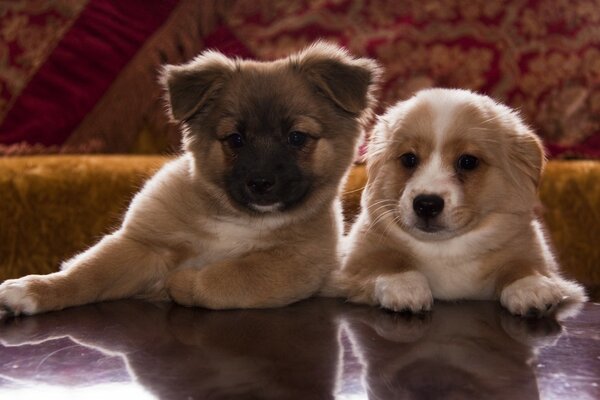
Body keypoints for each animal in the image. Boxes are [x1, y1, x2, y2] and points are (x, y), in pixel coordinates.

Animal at [0, 41, 380, 316]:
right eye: (235, 139)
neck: (239, 218)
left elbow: (232, 276)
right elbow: (86, 274)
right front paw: (36, 290)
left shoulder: (298, 263)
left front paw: (182, 283)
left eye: (297, 138)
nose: (260, 183)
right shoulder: (143, 244)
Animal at [328, 89, 584, 318]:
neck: (445, 249)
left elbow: (522, 265)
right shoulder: (352, 264)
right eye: (409, 159)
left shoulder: (534, 254)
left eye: (468, 162)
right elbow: (387, 262)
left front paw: (530, 287)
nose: (426, 205)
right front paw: (405, 286)